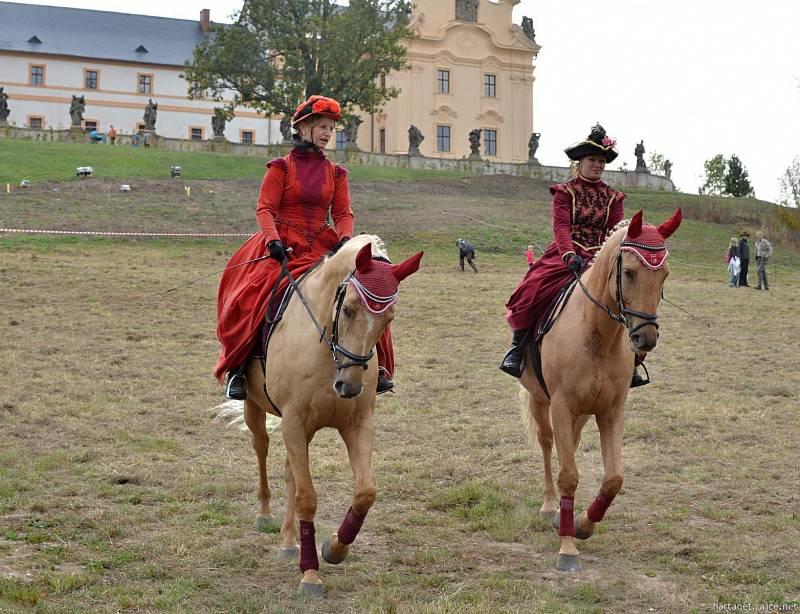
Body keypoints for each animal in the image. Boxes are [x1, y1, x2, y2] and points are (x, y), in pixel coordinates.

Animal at [225, 236, 424, 596]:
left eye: (388, 319)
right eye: (347, 309)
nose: (349, 385)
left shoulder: (356, 425)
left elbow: (365, 493)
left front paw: (334, 548)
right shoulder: (293, 422)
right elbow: (307, 497)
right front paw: (310, 574)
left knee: (290, 471)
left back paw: (289, 541)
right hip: (256, 408)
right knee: (261, 449)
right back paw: (265, 514)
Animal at [520, 211, 680, 572]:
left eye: (664, 275)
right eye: (630, 272)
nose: (646, 338)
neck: (596, 332)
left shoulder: (611, 411)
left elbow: (614, 479)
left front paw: (582, 525)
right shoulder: (561, 406)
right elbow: (568, 475)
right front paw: (567, 549)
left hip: (580, 415)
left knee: (571, 444)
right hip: (540, 401)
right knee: (547, 445)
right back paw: (550, 507)